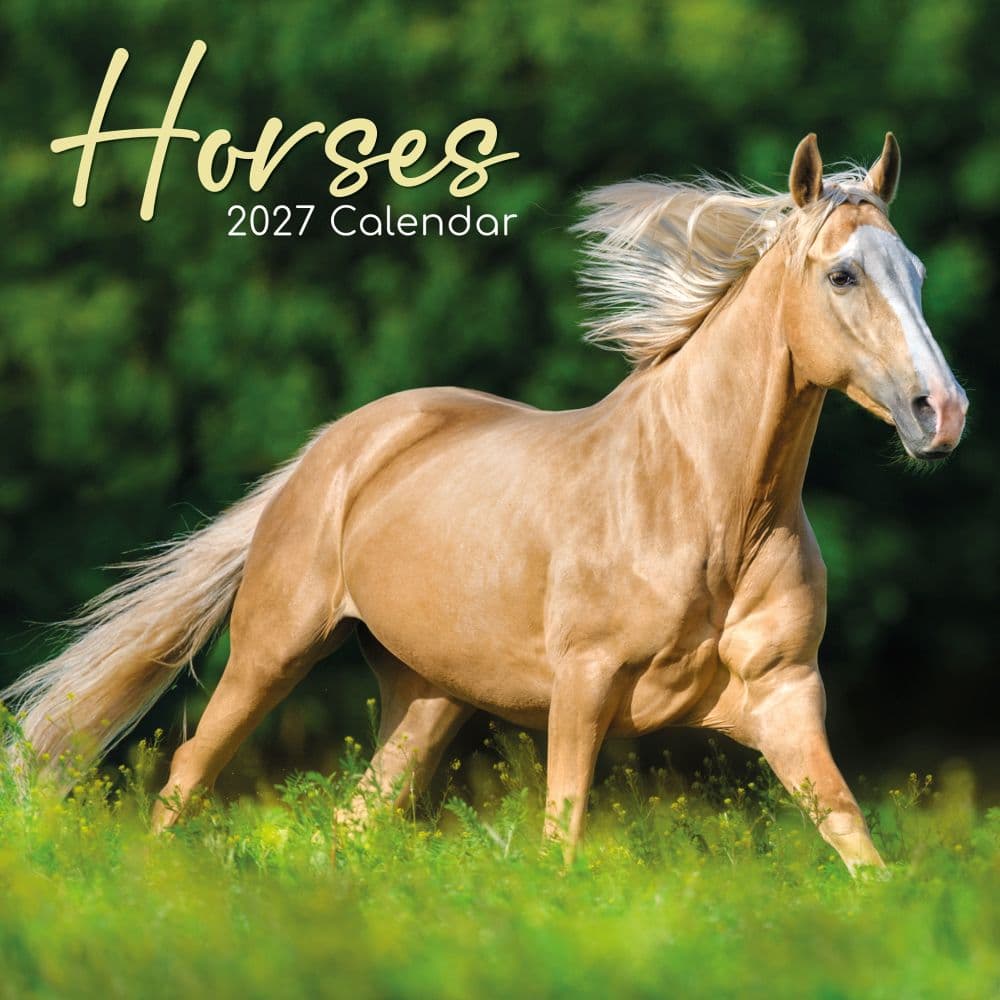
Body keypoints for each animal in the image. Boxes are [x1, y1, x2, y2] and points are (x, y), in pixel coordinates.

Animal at [3, 132, 967, 874]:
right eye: (843, 275)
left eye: (917, 271)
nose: (942, 412)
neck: (708, 509)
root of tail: (334, 448)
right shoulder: (584, 686)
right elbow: (560, 842)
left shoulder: (785, 695)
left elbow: (857, 844)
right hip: (272, 650)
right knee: (188, 774)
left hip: (427, 697)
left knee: (354, 819)